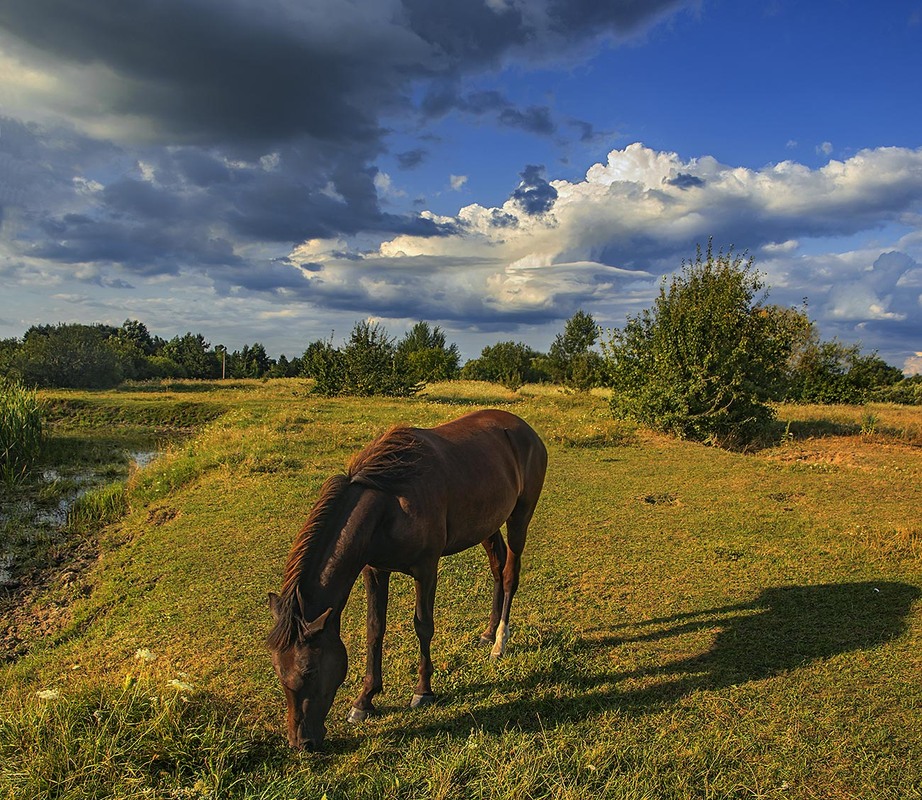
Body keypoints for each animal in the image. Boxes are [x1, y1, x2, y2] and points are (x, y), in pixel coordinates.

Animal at [264, 412, 548, 752]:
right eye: (278, 668)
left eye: (309, 669)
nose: (301, 742)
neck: (391, 503)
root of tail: (526, 430)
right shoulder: (375, 570)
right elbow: (375, 629)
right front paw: (364, 701)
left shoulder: (426, 569)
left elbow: (423, 626)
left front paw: (423, 690)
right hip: (487, 525)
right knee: (497, 566)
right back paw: (488, 633)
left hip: (520, 516)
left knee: (508, 575)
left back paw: (499, 643)